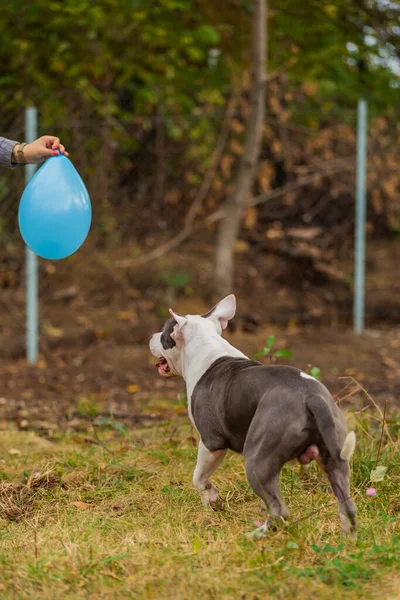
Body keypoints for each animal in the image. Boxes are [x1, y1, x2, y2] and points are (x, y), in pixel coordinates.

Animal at [150, 296, 356, 536]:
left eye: (164, 334)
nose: (151, 337)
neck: (206, 347)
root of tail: (311, 397)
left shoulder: (211, 442)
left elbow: (198, 477)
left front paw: (211, 499)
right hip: (335, 459)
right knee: (346, 504)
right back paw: (348, 537)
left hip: (257, 460)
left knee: (280, 510)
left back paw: (256, 534)